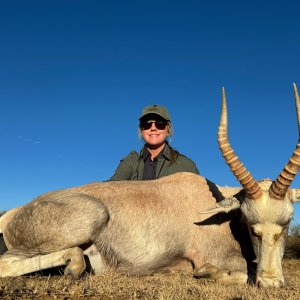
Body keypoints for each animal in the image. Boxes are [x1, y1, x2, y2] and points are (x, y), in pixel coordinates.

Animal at [0, 85, 298, 288]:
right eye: (249, 223)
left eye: (287, 221)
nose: (271, 283)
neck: (220, 214)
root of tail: (16, 213)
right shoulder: (210, 256)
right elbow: (237, 271)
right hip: (90, 216)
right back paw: (75, 266)